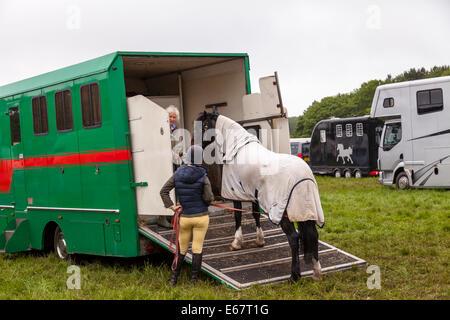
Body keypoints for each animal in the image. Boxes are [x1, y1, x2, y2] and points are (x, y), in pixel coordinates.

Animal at [195, 111, 326, 282]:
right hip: (306, 210)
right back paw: (317, 273)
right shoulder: (253, 193)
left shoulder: (235, 192)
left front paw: (236, 243)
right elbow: (255, 214)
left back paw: (294, 276)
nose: (196, 148)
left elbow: (238, 216)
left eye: (203, 126)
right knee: (313, 235)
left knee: (294, 238)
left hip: (282, 212)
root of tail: (303, 177)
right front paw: (259, 240)